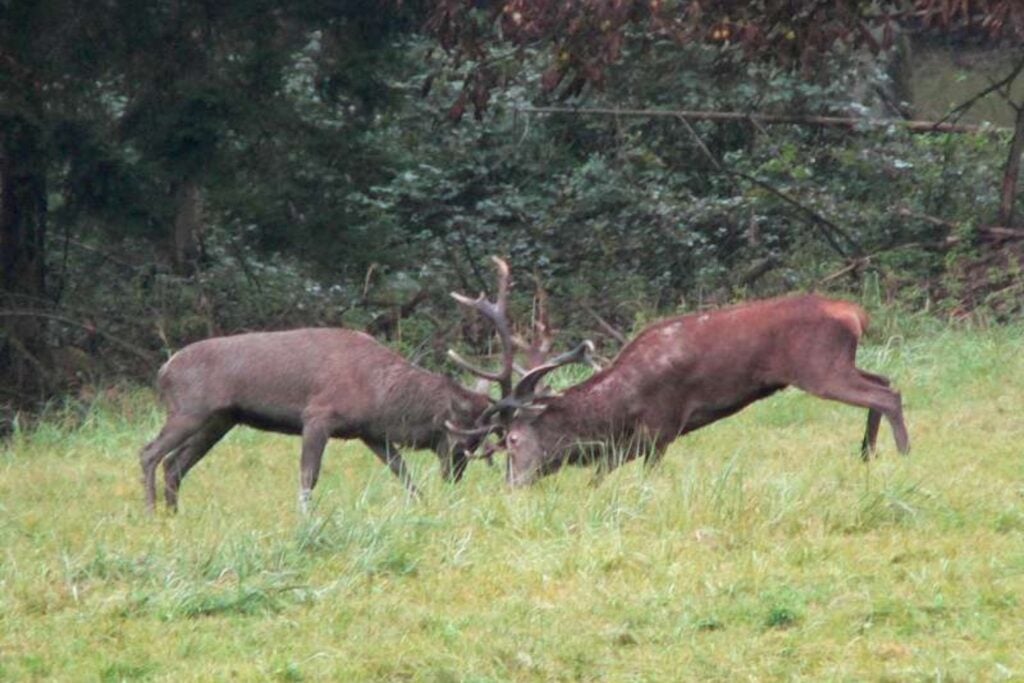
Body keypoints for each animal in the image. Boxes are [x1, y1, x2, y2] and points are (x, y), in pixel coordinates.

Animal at [139, 327, 493, 513]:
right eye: (464, 440)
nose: (454, 479)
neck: (379, 395)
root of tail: (163, 371)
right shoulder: (318, 416)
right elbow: (309, 475)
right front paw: (306, 518)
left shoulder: (370, 432)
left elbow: (401, 471)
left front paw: (423, 504)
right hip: (189, 410)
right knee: (149, 452)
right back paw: (152, 512)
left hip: (219, 420)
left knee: (174, 463)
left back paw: (174, 514)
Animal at [448, 258, 911, 488]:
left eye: (511, 439)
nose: (511, 486)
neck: (622, 404)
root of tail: (855, 314)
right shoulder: (637, 437)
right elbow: (602, 472)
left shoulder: (662, 423)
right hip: (839, 362)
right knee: (885, 381)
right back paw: (866, 453)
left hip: (818, 366)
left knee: (887, 394)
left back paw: (903, 456)